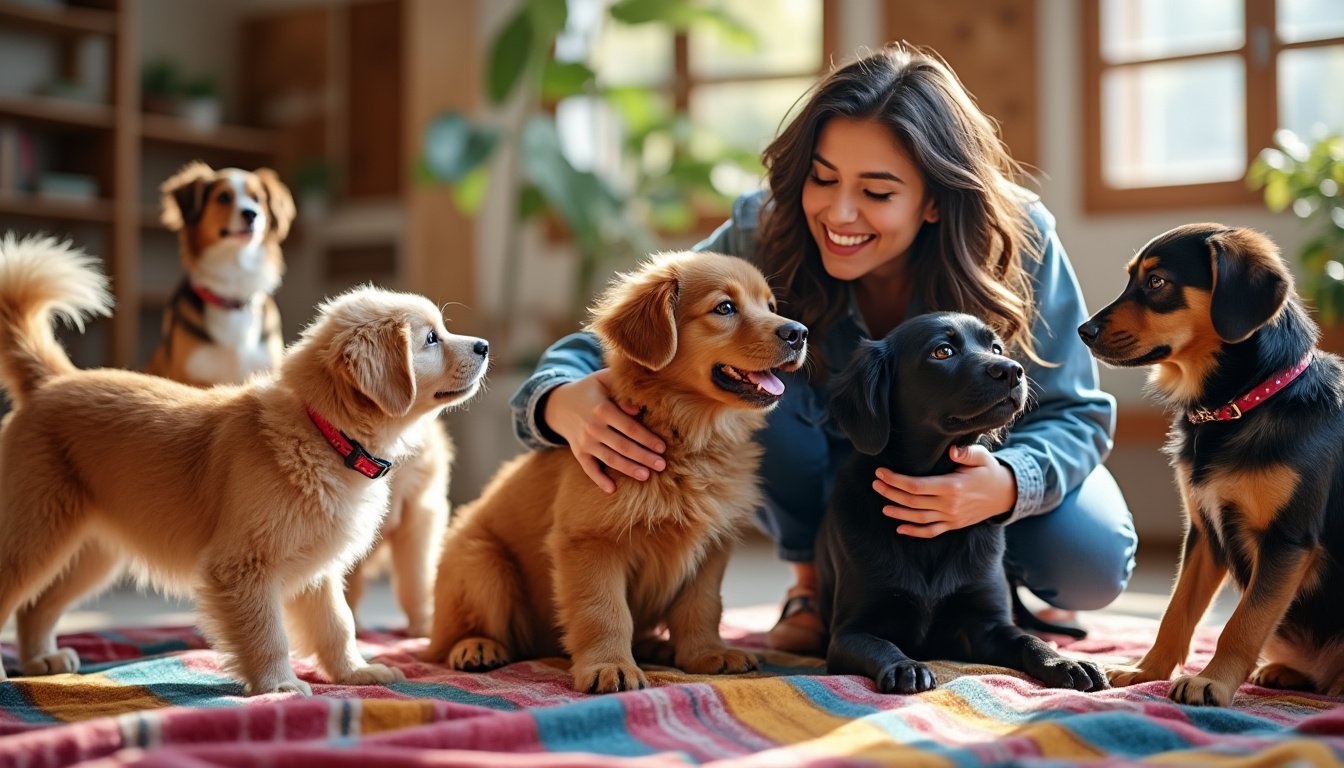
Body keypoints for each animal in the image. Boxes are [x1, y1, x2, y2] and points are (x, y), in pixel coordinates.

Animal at [0, 234, 489, 699]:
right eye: (431, 338)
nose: (485, 345)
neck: (322, 432)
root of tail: (50, 382)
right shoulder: (243, 566)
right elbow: (267, 632)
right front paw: (278, 686)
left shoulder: (317, 568)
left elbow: (338, 623)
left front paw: (355, 672)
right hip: (36, 531)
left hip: (92, 550)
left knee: (36, 606)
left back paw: (41, 660)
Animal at [427, 254, 806, 699]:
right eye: (725, 307)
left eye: (771, 306)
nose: (799, 333)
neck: (687, 437)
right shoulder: (590, 542)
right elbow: (604, 611)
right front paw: (610, 666)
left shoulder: (712, 547)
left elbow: (702, 606)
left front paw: (706, 654)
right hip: (482, 564)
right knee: (446, 641)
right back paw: (476, 646)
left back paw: (658, 645)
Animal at [811, 312, 1107, 699]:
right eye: (943, 351)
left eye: (995, 348)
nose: (1013, 371)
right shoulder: (849, 631)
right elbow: (881, 644)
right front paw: (905, 666)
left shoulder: (987, 626)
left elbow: (1028, 640)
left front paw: (1065, 663)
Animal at [1075, 223, 1344, 710]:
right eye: (1131, 278)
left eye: (1157, 282)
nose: (1083, 330)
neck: (1241, 404)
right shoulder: (1204, 532)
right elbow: (1176, 610)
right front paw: (1146, 670)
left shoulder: (1287, 540)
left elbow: (1244, 621)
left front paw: (1211, 682)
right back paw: (1285, 671)